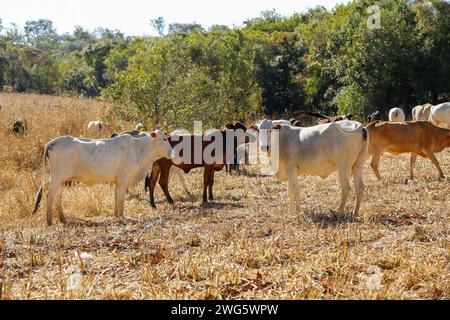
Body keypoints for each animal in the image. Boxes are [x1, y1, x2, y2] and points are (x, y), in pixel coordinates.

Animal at [31, 130, 172, 225]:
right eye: (164, 139)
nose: (171, 152)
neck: (138, 149)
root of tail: (53, 142)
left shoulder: (117, 181)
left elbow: (116, 198)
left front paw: (116, 215)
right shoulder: (123, 180)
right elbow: (121, 199)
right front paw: (122, 216)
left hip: (62, 180)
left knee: (57, 197)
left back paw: (63, 219)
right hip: (56, 177)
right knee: (49, 196)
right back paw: (49, 221)